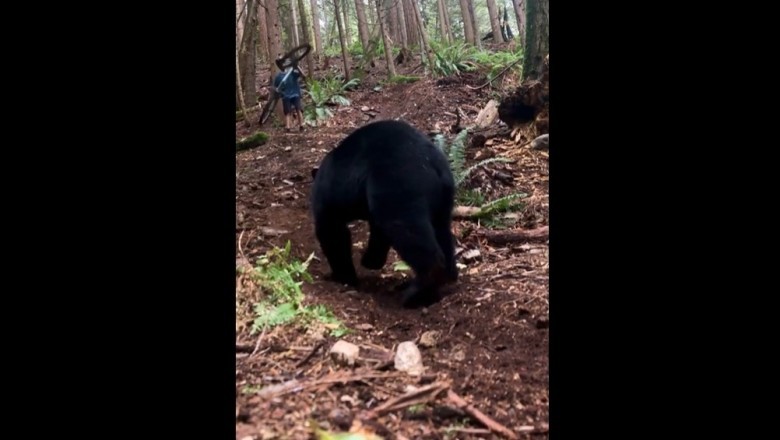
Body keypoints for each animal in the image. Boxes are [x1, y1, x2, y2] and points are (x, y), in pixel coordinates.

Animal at [310, 118, 458, 308]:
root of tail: (433, 165)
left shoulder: (328, 204)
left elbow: (333, 234)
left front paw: (343, 277)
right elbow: (377, 233)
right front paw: (370, 261)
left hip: (400, 186)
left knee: (410, 234)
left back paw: (414, 294)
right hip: (441, 200)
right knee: (442, 231)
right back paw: (446, 278)